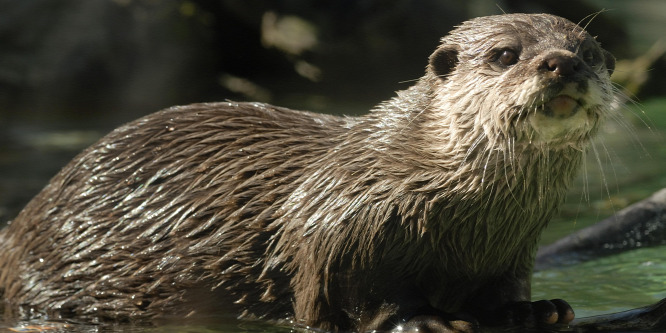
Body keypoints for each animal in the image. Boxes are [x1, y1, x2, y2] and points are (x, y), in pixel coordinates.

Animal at [0, 12, 612, 330]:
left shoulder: (512, 248)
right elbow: (359, 294)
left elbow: (503, 289)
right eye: (506, 54)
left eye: (590, 52)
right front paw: (423, 320)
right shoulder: (346, 228)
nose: (562, 63)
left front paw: (533, 310)